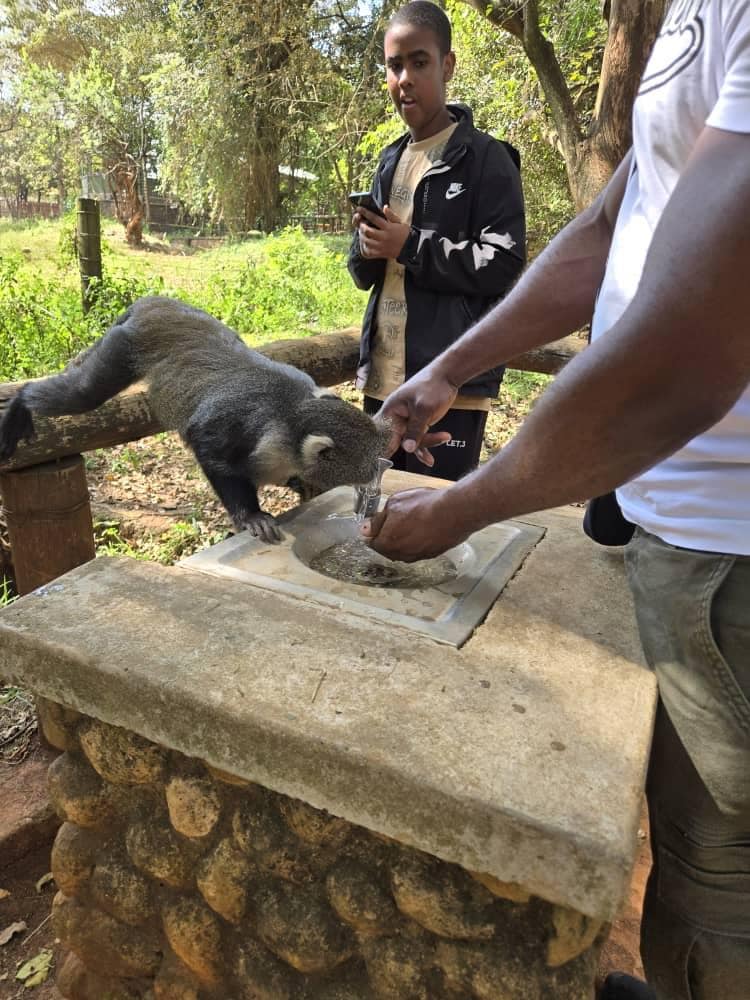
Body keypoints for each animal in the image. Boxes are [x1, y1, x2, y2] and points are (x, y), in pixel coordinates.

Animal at [0, 296, 392, 543]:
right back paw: (22, 401)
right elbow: (209, 449)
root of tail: (155, 303)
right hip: (125, 344)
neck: (293, 415)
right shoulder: (237, 426)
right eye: (368, 469)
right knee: (83, 393)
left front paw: (302, 487)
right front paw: (251, 515)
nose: (375, 482)